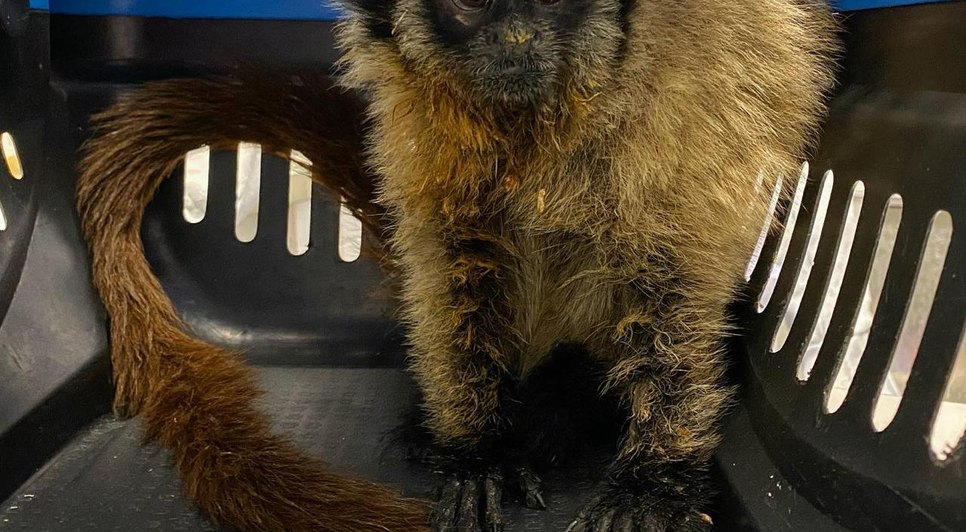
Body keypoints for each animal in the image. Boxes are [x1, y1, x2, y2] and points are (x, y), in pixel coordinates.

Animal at [76, 0, 838, 530]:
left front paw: (652, 482)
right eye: (470, 5)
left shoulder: (682, 98)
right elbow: (453, 261)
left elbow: (675, 276)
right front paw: (476, 454)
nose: (517, 40)